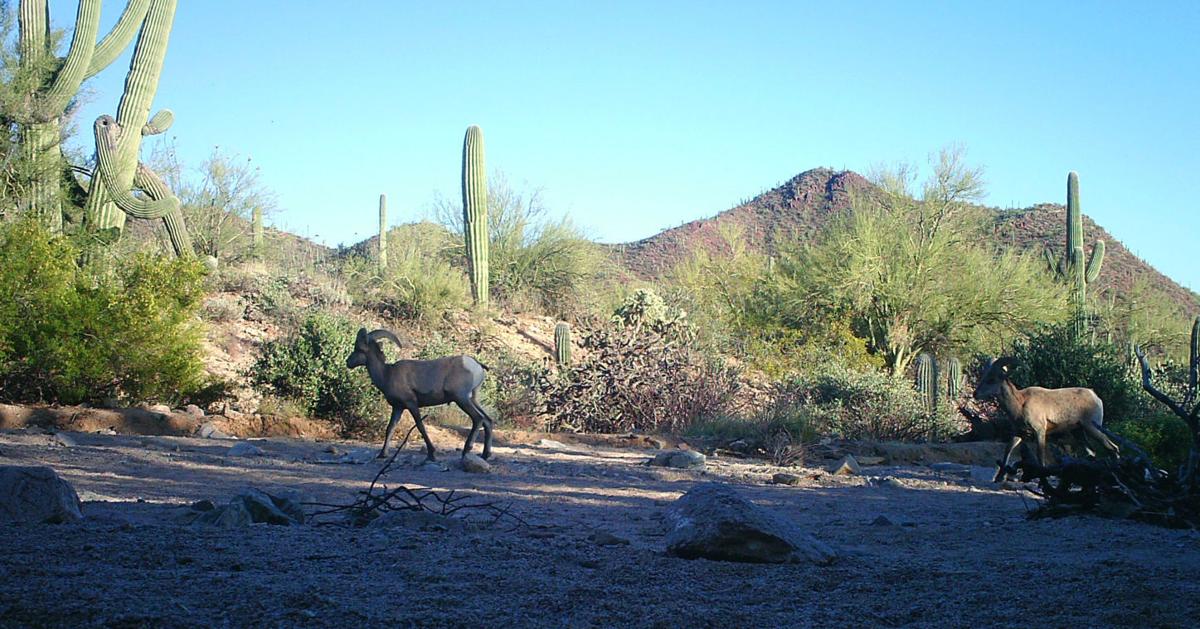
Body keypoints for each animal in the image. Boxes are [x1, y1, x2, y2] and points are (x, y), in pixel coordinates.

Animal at [346, 328, 495, 462]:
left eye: (359, 349)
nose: (348, 362)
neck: (387, 374)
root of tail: (477, 365)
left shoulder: (411, 404)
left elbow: (420, 427)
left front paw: (432, 454)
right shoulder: (398, 408)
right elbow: (390, 428)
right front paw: (382, 454)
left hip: (461, 399)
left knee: (478, 419)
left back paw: (466, 451)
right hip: (472, 399)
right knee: (488, 420)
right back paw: (485, 455)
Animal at [973, 357, 1119, 481]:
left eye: (992, 379)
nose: (975, 394)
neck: (1020, 404)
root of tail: (1095, 396)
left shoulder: (1040, 431)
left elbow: (1040, 455)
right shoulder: (1018, 433)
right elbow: (1008, 450)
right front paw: (999, 477)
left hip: (1092, 428)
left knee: (1113, 448)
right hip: (1079, 432)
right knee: (1092, 452)